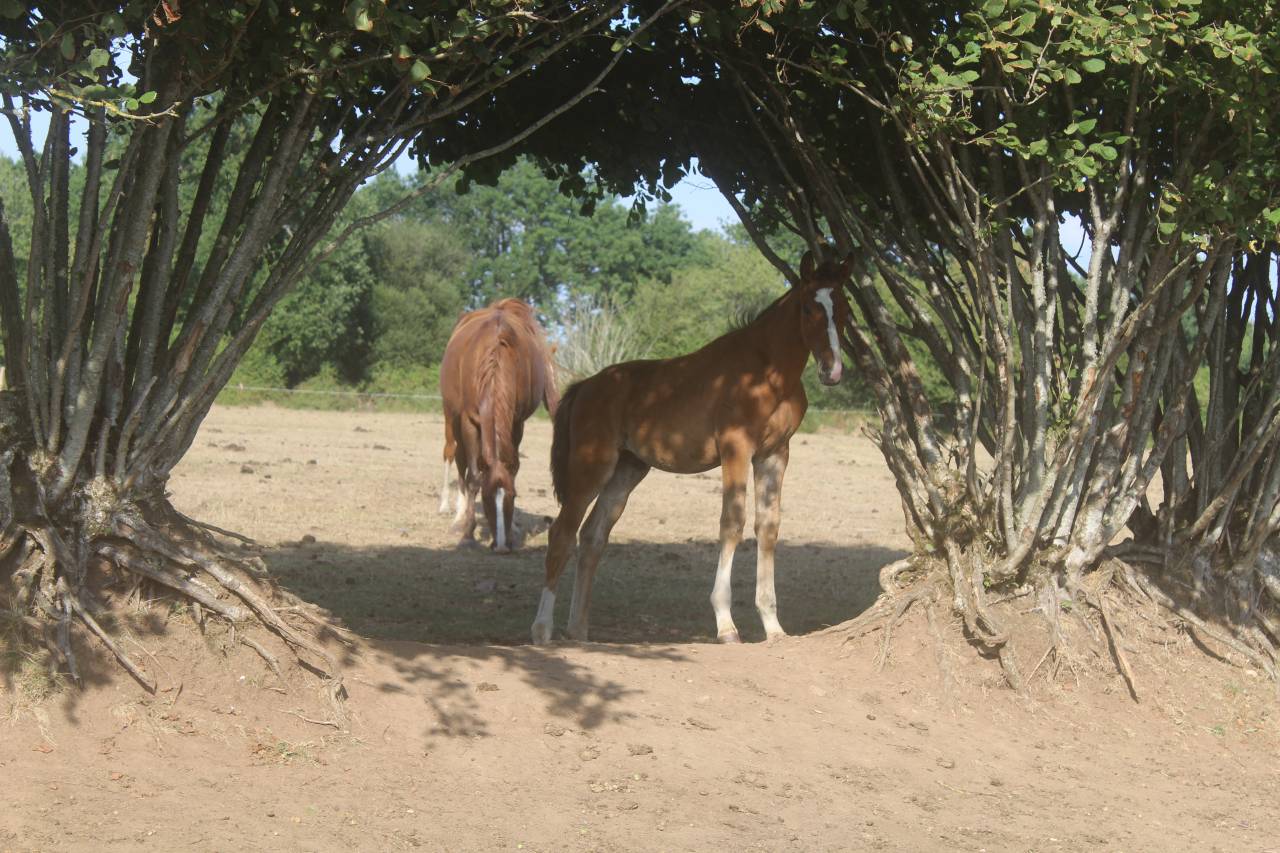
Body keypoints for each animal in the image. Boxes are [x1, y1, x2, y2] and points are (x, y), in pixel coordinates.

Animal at [439, 298, 560, 552]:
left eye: (512, 497)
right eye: (486, 498)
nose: (502, 547)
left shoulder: (516, 422)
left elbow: (512, 469)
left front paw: (513, 529)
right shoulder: (468, 422)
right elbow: (473, 479)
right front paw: (467, 534)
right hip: (451, 417)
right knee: (454, 456)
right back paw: (453, 512)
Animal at [530, 250, 853, 644]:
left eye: (845, 308)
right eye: (809, 308)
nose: (831, 371)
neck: (768, 373)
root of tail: (586, 386)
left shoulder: (774, 453)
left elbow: (768, 526)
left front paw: (773, 626)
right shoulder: (736, 447)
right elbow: (733, 522)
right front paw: (726, 625)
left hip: (628, 468)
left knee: (593, 537)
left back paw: (578, 630)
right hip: (592, 465)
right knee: (562, 533)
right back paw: (542, 629)